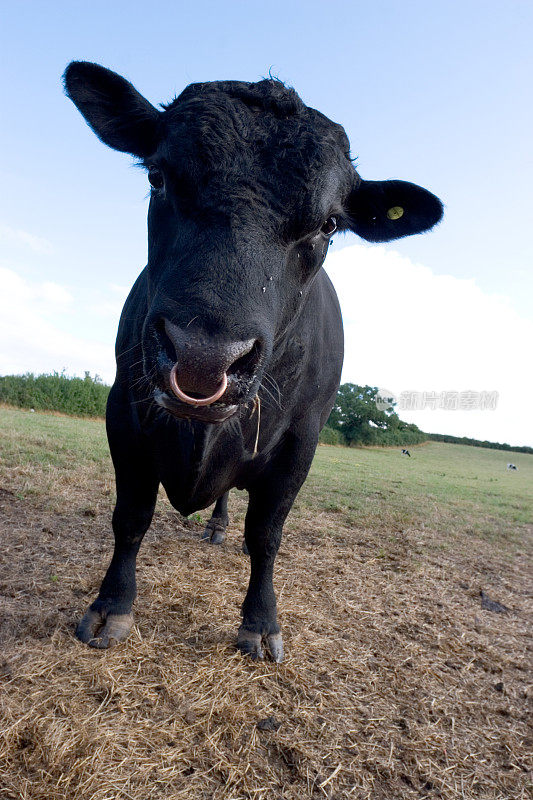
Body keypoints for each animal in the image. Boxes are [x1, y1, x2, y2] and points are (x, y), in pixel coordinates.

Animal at [64, 61, 442, 664]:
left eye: (329, 224)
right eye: (158, 177)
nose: (203, 358)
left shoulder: (301, 441)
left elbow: (266, 533)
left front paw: (260, 623)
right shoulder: (124, 411)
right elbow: (131, 517)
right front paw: (111, 606)